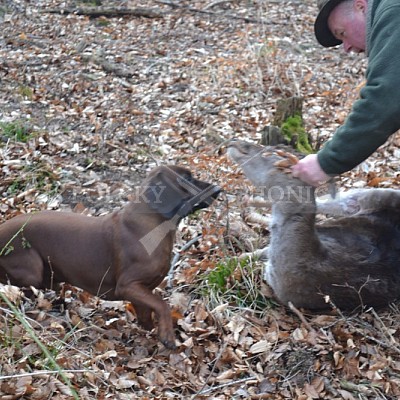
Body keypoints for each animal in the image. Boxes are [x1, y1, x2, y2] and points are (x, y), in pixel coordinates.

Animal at [0, 165, 219, 346]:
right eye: (186, 178)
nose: (218, 189)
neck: (154, 228)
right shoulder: (128, 286)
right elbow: (162, 304)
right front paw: (167, 336)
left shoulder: (142, 290)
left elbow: (147, 315)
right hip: (32, 269)